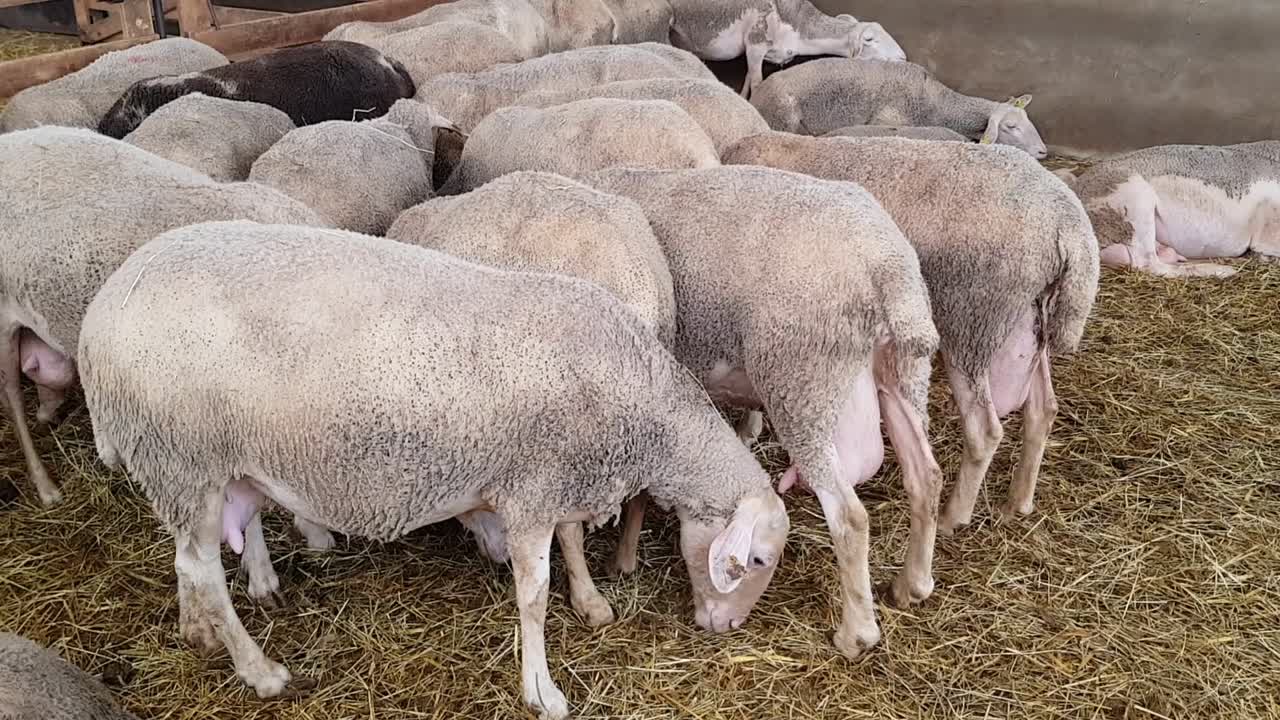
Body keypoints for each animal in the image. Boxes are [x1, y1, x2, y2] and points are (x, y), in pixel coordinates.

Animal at [76, 219, 790, 719]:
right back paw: (260, 670)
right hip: (182, 452)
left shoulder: (553, 476)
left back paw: (201, 625)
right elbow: (533, 598)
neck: (641, 413)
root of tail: (100, 314)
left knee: (192, 556)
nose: (726, 630)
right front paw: (542, 689)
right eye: (755, 561)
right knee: (201, 568)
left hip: (204, 460)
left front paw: (590, 601)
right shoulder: (532, 490)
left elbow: (570, 540)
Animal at [584, 164, 943, 660]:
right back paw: (913, 584)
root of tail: (889, 268)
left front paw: (622, 559)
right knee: (926, 475)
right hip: (902, 372)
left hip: (800, 378)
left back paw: (856, 633)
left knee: (849, 518)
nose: (728, 625)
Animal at [668, 0, 905, 99]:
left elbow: (747, 78)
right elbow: (757, 83)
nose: (903, 58)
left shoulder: (757, 52)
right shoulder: (756, 44)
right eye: (870, 39)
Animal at [721, 131, 1100, 535]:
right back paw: (1018, 501)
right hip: (1028, 317)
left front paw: (747, 428)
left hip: (973, 320)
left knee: (984, 431)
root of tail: (1071, 226)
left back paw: (953, 516)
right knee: (1043, 407)